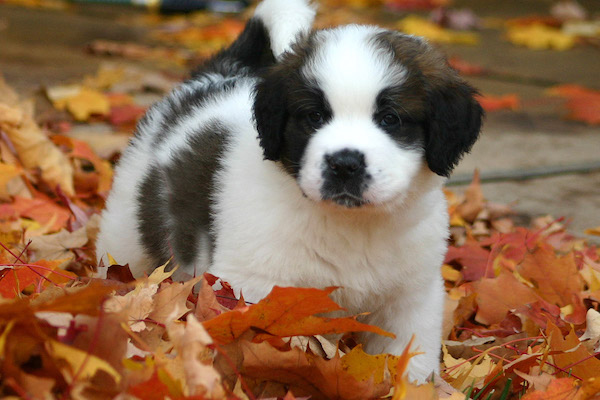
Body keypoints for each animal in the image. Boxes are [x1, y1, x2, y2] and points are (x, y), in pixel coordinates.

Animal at [97, 0, 482, 382]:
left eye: (391, 119)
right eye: (314, 117)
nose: (344, 164)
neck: (351, 225)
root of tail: (212, 78)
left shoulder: (412, 296)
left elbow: (408, 357)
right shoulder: (253, 287)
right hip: (126, 231)